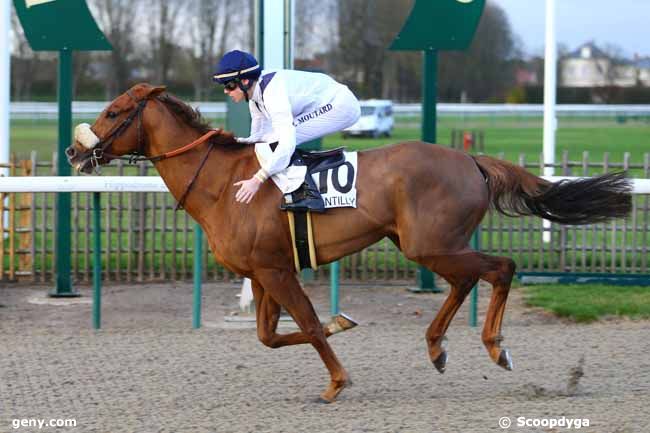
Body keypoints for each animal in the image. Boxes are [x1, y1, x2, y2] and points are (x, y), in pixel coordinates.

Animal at [64, 83, 628, 402]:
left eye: (113, 112)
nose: (73, 151)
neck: (224, 183)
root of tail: (472, 159)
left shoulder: (276, 272)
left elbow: (309, 326)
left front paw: (336, 381)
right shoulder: (264, 271)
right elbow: (269, 336)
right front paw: (342, 323)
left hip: (431, 245)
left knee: (500, 267)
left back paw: (495, 348)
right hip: (429, 245)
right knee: (468, 279)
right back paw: (437, 348)